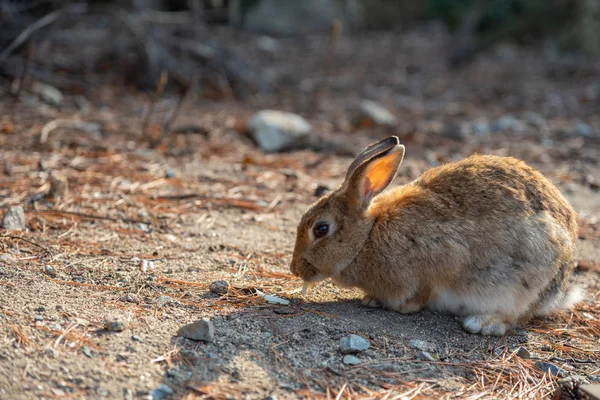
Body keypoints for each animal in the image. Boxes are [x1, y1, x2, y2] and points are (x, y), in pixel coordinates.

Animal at [290, 136, 580, 336]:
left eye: (321, 229)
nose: (294, 269)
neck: (367, 237)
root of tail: (560, 287)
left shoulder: (439, 257)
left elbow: (422, 292)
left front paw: (402, 306)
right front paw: (372, 299)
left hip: (526, 280)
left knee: (518, 315)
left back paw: (482, 323)